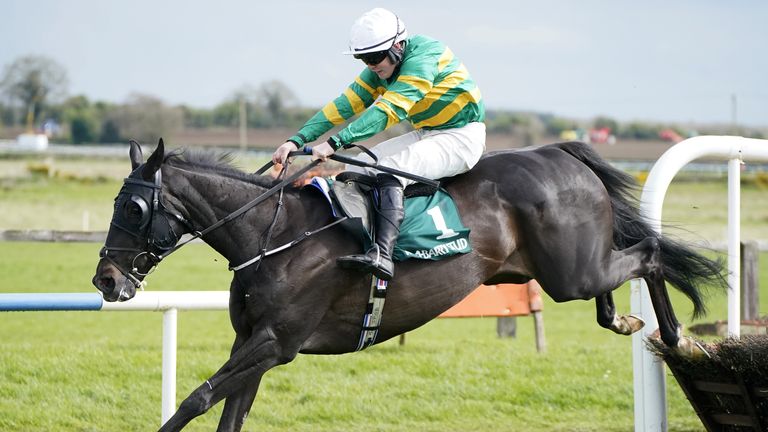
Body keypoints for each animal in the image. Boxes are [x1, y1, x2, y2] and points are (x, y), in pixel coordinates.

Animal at [91, 140, 728, 430]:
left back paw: (680, 339)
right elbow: (227, 411)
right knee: (621, 270)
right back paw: (622, 317)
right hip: (566, 269)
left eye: (134, 207)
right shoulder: (249, 343)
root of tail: (558, 152)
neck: (272, 234)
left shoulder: (276, 343)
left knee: (648, 255)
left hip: (571, 272)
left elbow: (197, 398)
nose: (105, 278)